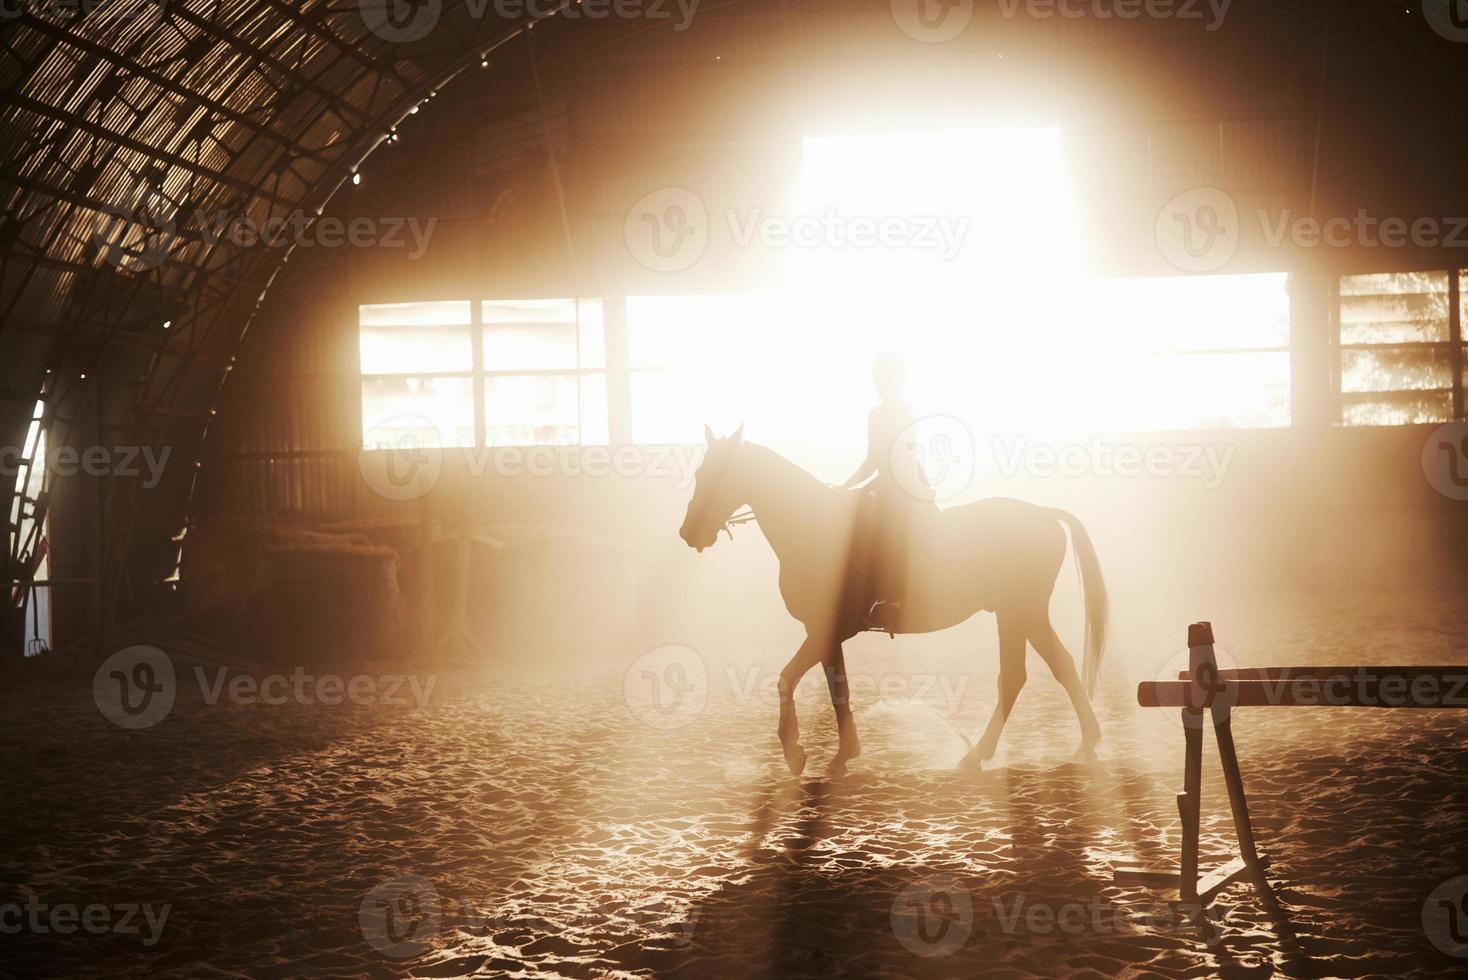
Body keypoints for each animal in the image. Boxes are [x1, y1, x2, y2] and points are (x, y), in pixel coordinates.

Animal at [681, 425, 1103, 774]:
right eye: (699, 475)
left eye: (716, 475)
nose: (689, 532)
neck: (814, 528)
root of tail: (1044, 514)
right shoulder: (826, 633)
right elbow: (838, 688)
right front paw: (844, 753)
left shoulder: (824, 631)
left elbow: (788, 679)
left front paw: (794, 751)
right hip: (1021, 612)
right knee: (1053, 668)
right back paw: (1081, 744)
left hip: (1018, 611)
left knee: (1018, 676)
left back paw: (981, 755)